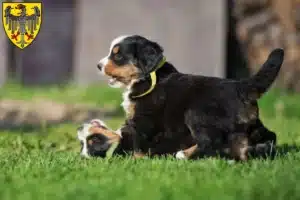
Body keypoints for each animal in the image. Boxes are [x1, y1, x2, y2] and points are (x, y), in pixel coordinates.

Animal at [96, 34, 284, 161]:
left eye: (118, 55)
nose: (98, 65)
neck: (148, 76)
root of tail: (240, 86)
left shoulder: (144, 118)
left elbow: (138, 141)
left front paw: (134, 160)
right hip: (253, 125)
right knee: (269, 136)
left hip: (196, 113)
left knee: (211, 141)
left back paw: (184, 155)